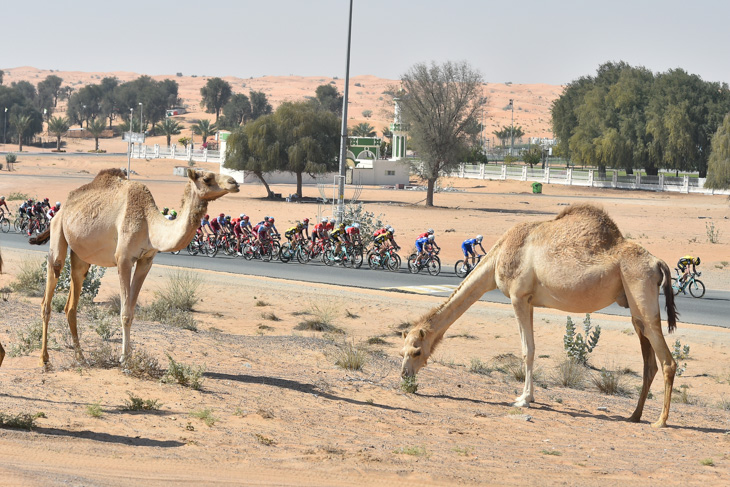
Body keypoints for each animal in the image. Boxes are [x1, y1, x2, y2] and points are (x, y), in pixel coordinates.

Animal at [29, 168, 239, 366]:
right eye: (207, 178)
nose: (234, 183)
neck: (150, 224)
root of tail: (61, 209)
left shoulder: (146, 261)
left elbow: (131, 310)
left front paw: (128, 357)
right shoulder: (123, 259)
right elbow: (124, 312)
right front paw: (124, 359)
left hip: (81, 256)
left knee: (71, 304)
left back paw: (81, 357)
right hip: (58, 233)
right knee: (48, 296)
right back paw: (44, 359)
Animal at [398, 204, 676, 428]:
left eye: (417, 351)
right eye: (402, 352)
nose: (404, 376)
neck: (499, 255)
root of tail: (657, 262)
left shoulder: (518, 296)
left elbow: (526, 350)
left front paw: (522, 400)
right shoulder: (529, 301)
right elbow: (531, 347)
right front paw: (529, 396)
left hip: (640, 290)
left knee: (667, 360)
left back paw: (660, 421)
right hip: (634, 307)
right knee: (648, 361)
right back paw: (635, 415)